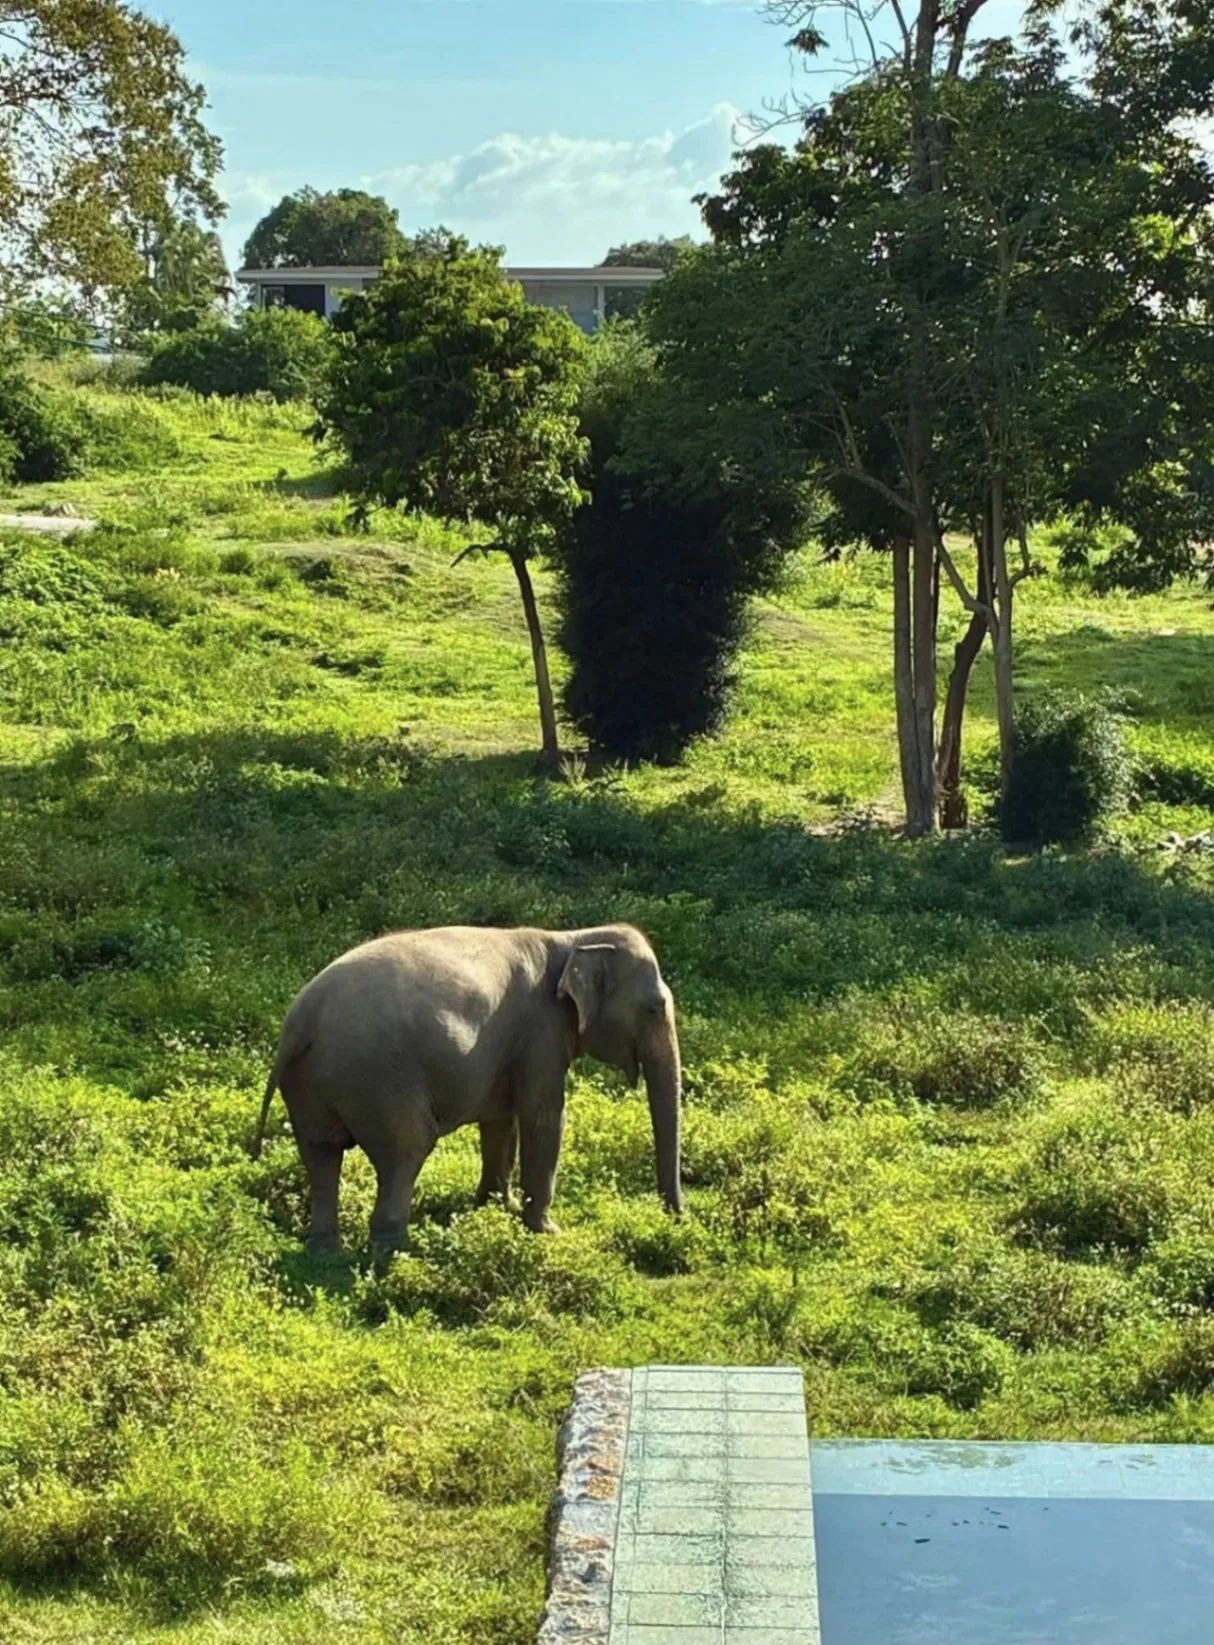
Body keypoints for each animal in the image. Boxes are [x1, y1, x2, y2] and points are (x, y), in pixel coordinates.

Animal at [251, 922, 682, 1251]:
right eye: (654, 1008)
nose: (677, 1217)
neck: (573, 937)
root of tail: (299, 1021)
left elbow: (501, 1121)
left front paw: (496, 1208)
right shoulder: (541, 1032)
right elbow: (544, 1117)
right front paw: (546, 1231)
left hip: (311, 1082)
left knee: (322, 1154)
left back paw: (326, 1253)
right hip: (378, 1080)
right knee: (405, 1150)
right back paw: (397, 1251)